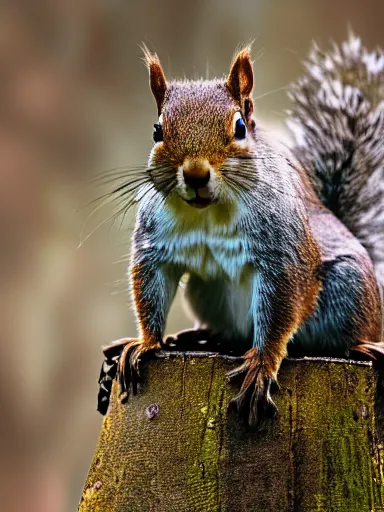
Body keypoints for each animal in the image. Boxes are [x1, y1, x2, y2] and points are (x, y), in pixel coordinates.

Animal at [96, 34, 384, 430]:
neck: (208, 211)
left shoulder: (281, 253)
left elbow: (279, 311)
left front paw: (261, 365)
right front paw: (147, 342)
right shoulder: (156, 246)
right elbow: (151, 287)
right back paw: (198, 336)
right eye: (157, 131)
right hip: (206, 293)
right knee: (229, 332)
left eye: (239, 128)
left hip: (348, 287)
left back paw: (362, 346)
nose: (196, 174)